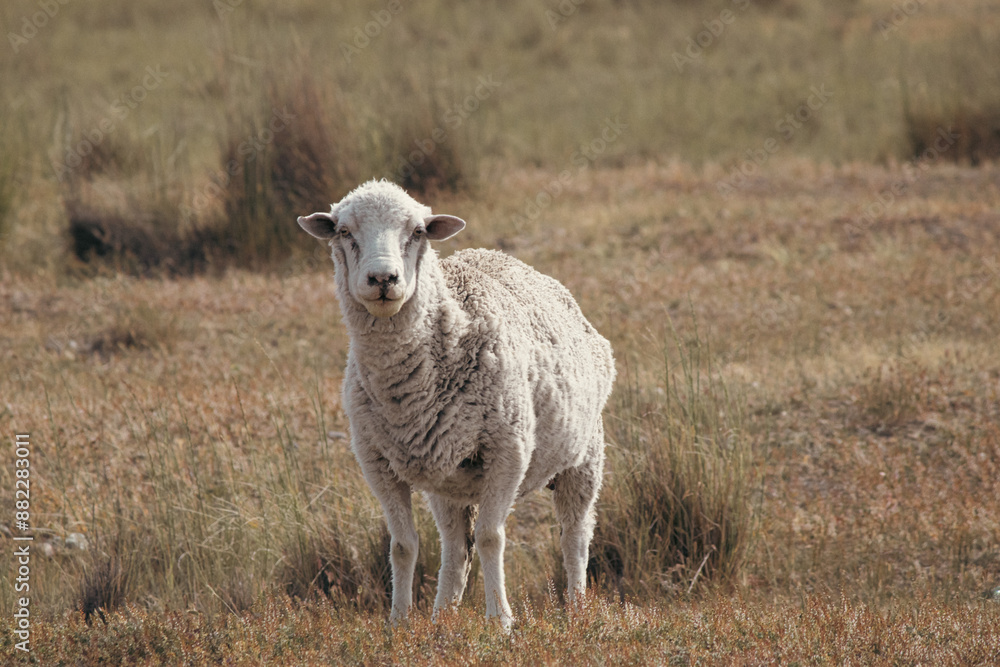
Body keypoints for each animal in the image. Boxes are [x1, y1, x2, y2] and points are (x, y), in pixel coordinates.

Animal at [297, 180, 615, 630]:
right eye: (344, 232)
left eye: (417, 232)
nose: (383, 278)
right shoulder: (375, 461)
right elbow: (402, 546)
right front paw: (398, 625)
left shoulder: (509, 449)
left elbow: (491, 537)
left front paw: (500, 622)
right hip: (449, 480)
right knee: (454, 547)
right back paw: (442, 618)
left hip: (584, 458)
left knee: (574, 536)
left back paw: (577, 610)